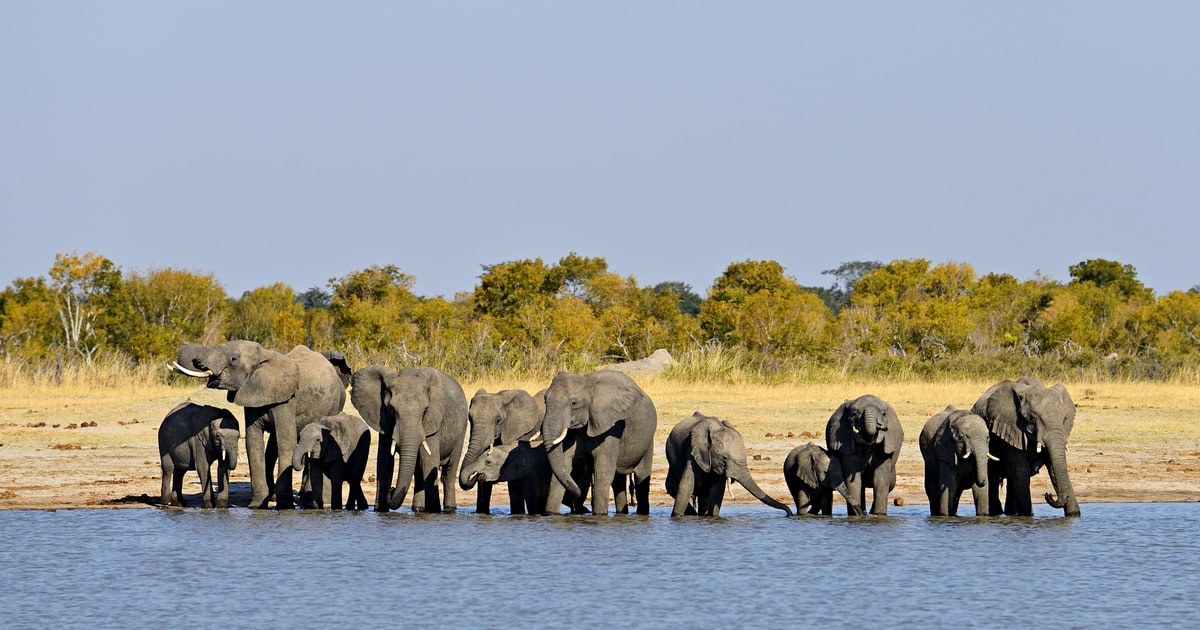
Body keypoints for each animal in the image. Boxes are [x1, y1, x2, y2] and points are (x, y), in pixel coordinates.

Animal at [171, 341, 347, 509]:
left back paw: (307, 501)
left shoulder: (287, 400)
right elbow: (253, 443)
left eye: (233, 359)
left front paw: (284, 507)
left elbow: (285, 443)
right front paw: (257, 506)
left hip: (335, 405)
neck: (264, 355)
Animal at [350, 365, 468, 513]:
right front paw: (380, 510)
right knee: (418, 472)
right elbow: (384, 461)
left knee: (449, 472)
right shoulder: (384, 420)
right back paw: (417, 509)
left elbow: (429, 460)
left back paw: (449, 508)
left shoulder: (432, 421)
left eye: (425, 410)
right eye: (392, 409)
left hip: (462, 429)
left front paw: (434, 511)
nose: (391, 489)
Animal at [541, 370, 657, 516]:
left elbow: (603, 471)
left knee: (641, 477)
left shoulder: (612, 425)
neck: (588, 383)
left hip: (648, 439)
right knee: (618, 482)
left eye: (573, 403)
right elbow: (564, 466)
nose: (577, 504)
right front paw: (551, 514)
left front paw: (600, 515)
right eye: (545, 400)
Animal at [972, 377, 1080, 517]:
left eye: (1064, 419)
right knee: (994, 477)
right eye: (1032, 418)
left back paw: (1011, 514)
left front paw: (1074, 515)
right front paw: (1028, 516)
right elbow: (1020, 471)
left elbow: (1053, 467)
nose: (1048, 494)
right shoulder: (1011, 428)